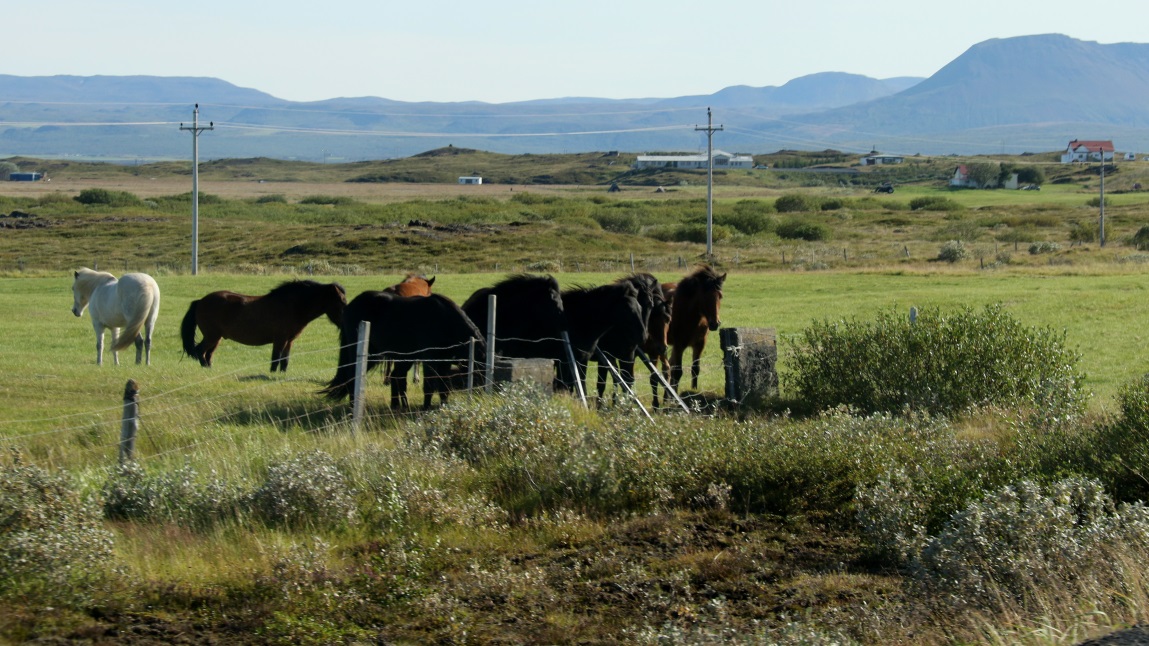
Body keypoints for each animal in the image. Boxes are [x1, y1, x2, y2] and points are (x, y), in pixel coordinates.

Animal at [180, 280, 346, 372]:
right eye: (340, 302)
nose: (346, 322)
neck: (292, 306)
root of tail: (200, 301)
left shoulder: (289, 341)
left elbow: (285, 361)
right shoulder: (279, 339)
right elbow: (276, 358)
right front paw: (272, 373)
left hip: (217, 338)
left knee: (208, 354)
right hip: (212, 336)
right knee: (200, 351)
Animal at [322, 291, 483, 409]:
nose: (480, 393)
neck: (444, 319)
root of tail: (348, 308)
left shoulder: (445, 361)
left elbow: (444, 385)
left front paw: (444, 406)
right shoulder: (430, 359)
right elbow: (430, 385)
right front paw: (426, 408)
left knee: (396, 377)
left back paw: (398, 406)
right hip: (366, 354)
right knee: (353, 378)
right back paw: (353, 407)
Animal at [594, 273, 670, 405]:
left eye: (667, 319)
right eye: (653, 316)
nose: (663, 348)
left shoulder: (640, 354)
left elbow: (635, 379)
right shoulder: (613, 356)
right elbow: (611, 381)